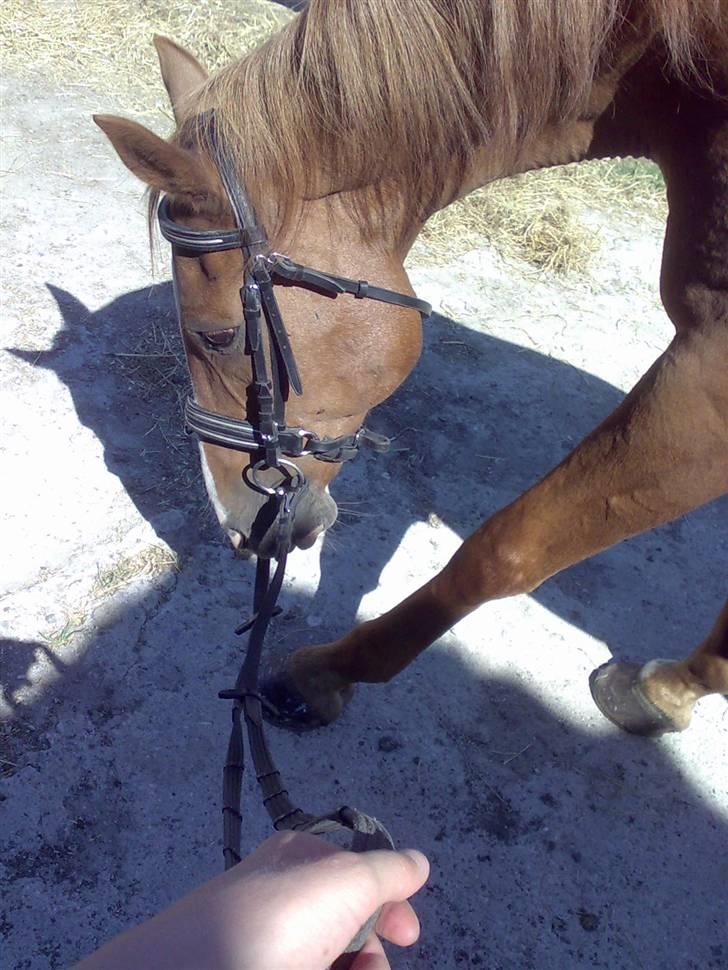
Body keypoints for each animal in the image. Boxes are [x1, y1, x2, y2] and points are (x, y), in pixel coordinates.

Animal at [95, 0, 728, 740]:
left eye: (218, 336)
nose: (236, 526)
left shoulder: (709, 375)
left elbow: (504, 552)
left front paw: (323, 673)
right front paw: (673, 689)